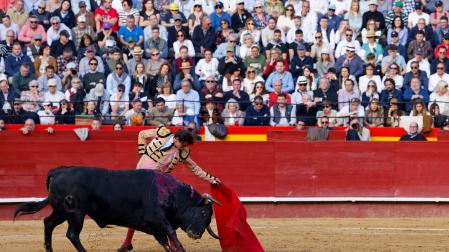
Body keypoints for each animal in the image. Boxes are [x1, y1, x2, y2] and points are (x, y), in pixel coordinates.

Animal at [12, 166, 219, 251]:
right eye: (203, 212)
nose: (197, 234)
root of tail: (59, 171)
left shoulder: (154, 226)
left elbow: (164, 241)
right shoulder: (158, 219)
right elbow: (171, 235)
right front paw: (181, 249)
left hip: (62, 211)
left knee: (48, 223)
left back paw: (49, 249)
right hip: (75, 213)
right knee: (72, 234)